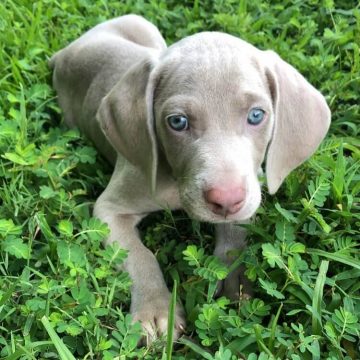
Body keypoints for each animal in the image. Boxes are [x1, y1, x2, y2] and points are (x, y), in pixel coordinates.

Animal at [50, 14, 330, 344]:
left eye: (257, 115)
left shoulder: (251, 190)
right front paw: (155, 311)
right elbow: (139, 254)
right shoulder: (109, 209)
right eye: (177, 122)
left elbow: (236, 232)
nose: (226, 200)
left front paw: (235, 277)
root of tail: (68, 49)